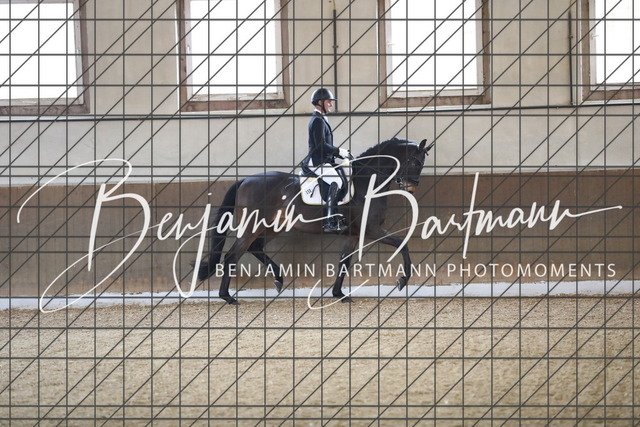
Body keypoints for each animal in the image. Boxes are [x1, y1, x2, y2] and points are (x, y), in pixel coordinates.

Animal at [196, 137, 432, 304]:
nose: (411, 187)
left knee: (255, 247)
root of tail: (245, 180)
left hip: (274, 225)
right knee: (232, 255)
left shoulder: (354, 234)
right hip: (253, 226)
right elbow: (402, 244)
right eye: (415, 161)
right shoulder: (371, 229)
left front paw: (339, 294)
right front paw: (402, 280)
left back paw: (278, 279)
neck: (366, 181)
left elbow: (344, 261)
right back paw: (228, 297)